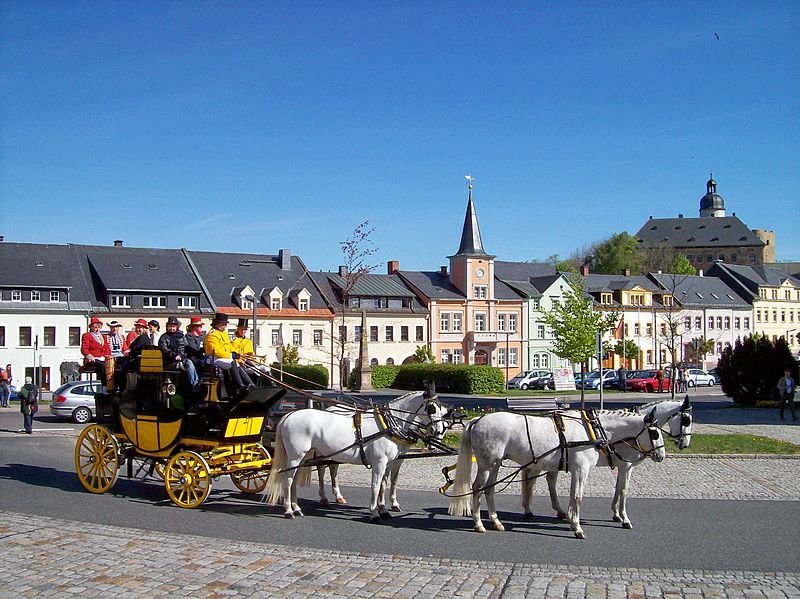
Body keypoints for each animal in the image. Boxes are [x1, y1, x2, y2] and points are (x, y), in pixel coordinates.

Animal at [266, 394, 446, 520]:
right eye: (431, 408)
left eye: (441, 410)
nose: (438, 431)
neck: (388, 424)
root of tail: (289, 415)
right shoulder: (379, 462)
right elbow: (375, 486)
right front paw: (374, 513)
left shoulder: (389, 463)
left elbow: (385, 484)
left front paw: (384, 509)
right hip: (296, 456)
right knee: (289, 480)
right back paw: (289, 510)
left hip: (305, 456)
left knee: (298, 478)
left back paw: (297, 508)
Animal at [446, 408, 664, 540]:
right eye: (654, 433)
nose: (661, 455)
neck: (591, 430)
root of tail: (479, 419)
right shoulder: (583, 469)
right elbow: (579, 497)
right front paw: (578, 527)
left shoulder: (581, 469)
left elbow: (575, 496)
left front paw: (572, 521)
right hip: (486, 464)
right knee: (477, 489)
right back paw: (478, 524)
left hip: (495, 464)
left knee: (489, 490)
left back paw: (496, 522)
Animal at [524, 398, 692, 528]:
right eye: (686, 420)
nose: (684, 444)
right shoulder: (626, 466)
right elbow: (624, 490)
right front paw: (624, 518)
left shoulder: (622, 465)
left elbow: (618, 488)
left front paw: (616, 514)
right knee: (536, 481)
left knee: (545, 481)